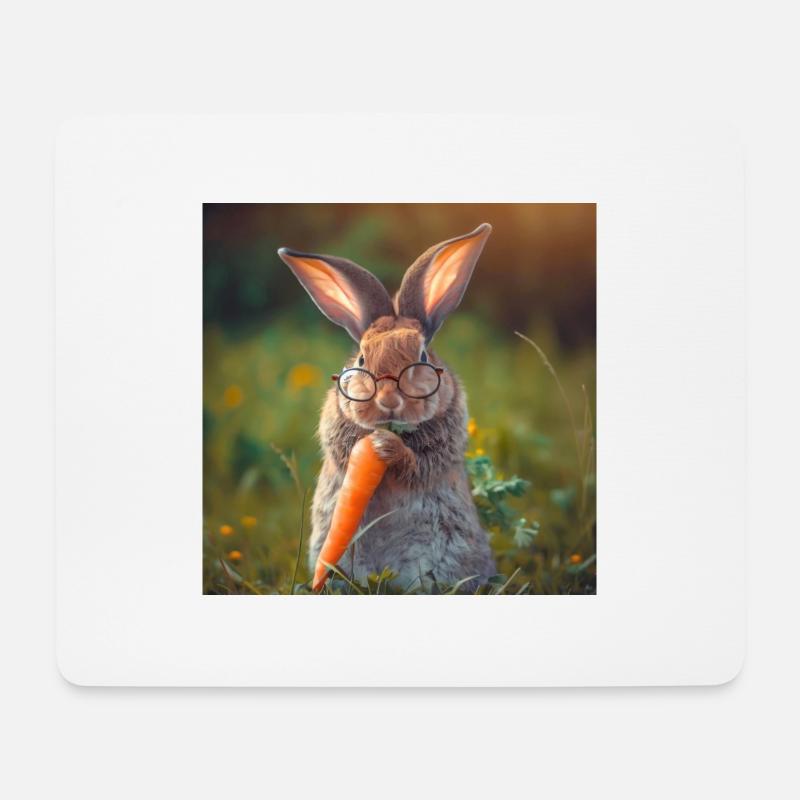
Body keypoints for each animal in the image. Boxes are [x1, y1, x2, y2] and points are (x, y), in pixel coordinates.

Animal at [278, 223, 496, 592]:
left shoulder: (445, 443)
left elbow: (420, 465)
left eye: (422, 357)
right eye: (362, 360)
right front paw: (377, 443)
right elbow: (348, 450)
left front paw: (384, 446)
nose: (388, 401)